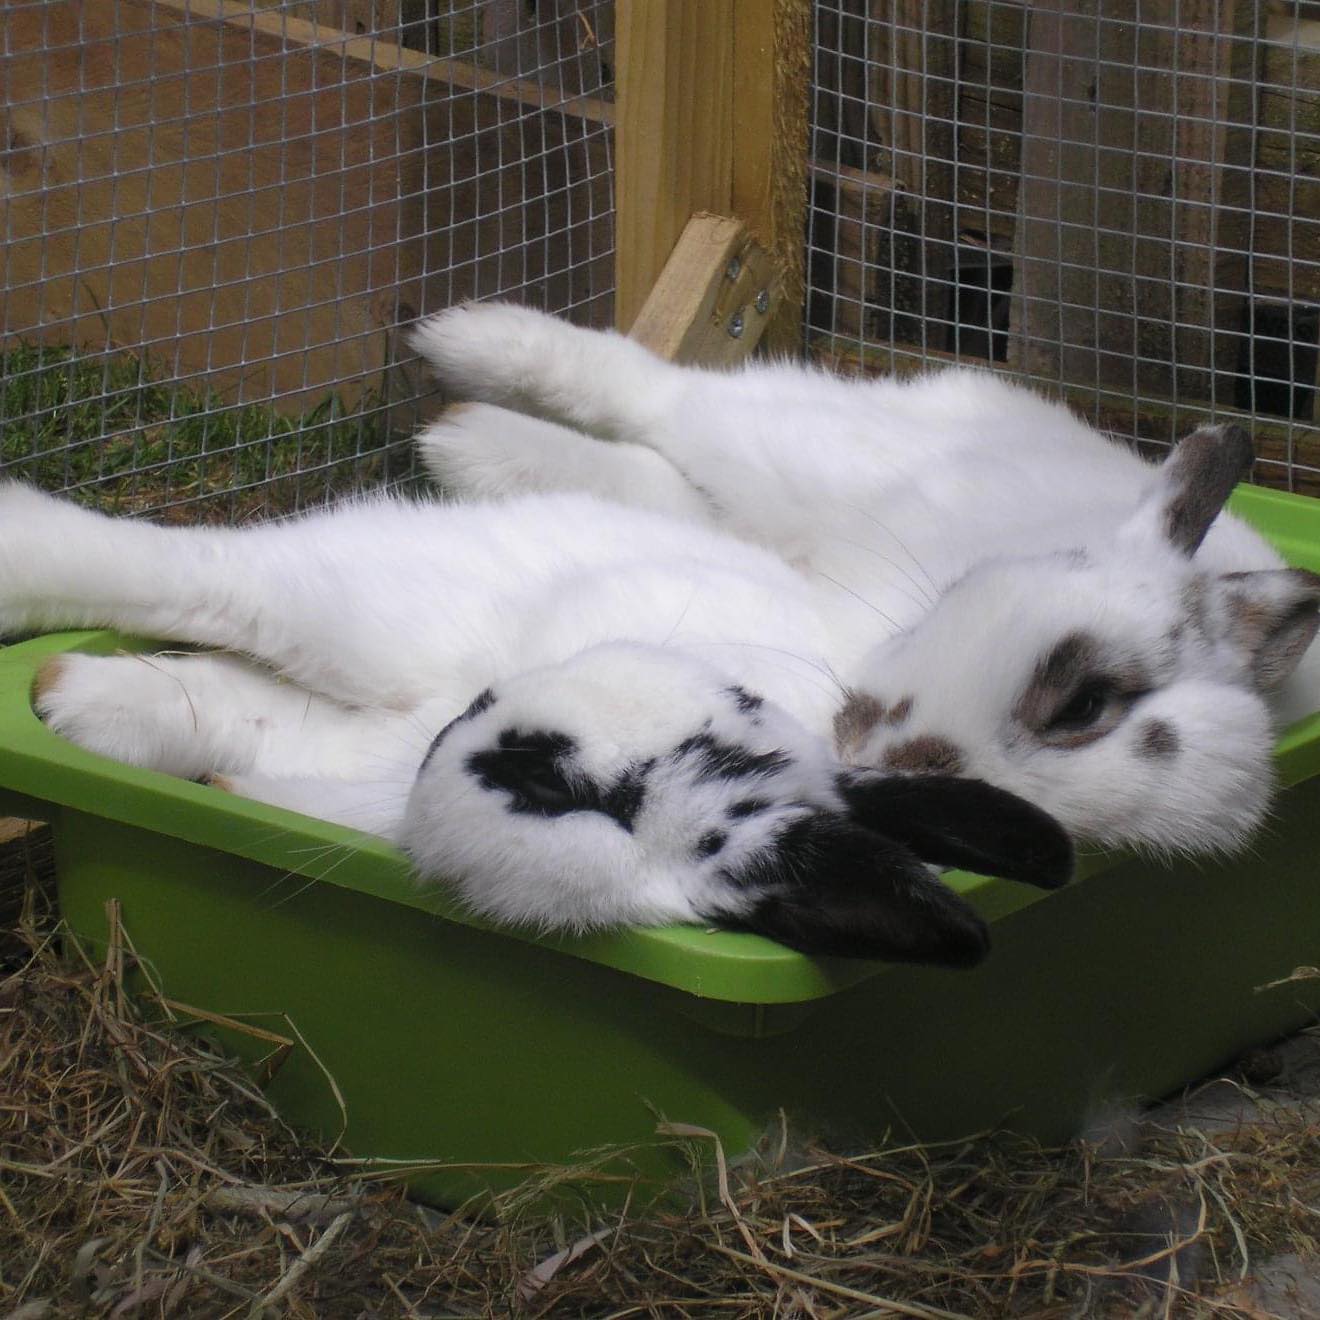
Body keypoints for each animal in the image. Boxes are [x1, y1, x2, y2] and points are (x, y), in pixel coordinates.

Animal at [2, 477, 1073, 967]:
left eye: (573, 798)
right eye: (732, 697)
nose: (490, 721)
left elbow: (245, 723)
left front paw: (87, 710)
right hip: (370, 598)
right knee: (197, 574)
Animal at [411, 301, 1320, 858]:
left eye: (1088, 710)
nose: (877, 748)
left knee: (659, 476)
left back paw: (470, 446)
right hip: (796, 453)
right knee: (666, 397)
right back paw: (464, 356)